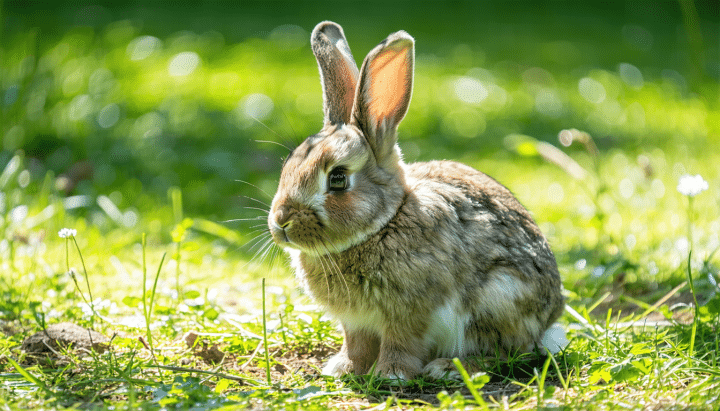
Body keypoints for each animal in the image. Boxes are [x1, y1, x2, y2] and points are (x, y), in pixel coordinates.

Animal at [267, 21, 565, 381]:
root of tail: (549, 323)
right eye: (288, 164)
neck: (385, 222)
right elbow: (356, 343)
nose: (281, 221)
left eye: (337, 178)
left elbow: (402, 341)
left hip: (498, 299)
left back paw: (448, 368)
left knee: (505, 351)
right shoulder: (356, 322)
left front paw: (390, 374)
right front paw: (345, 369)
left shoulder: (411, 311)